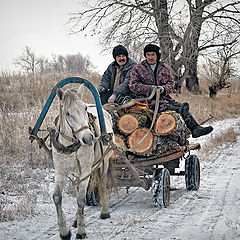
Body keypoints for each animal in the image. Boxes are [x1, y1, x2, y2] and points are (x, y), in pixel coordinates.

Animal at [51, 86, 114, 240]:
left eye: (85, 109)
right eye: (68, 113)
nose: (88, 138)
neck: (69, 147)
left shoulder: (85, 171)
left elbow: (81, 199)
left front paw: (81, 231)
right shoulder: (60, 172)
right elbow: (57, 197)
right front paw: (64, 231)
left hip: (104, 161)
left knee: (102, 182)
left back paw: (104, 211)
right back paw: (75, 220)